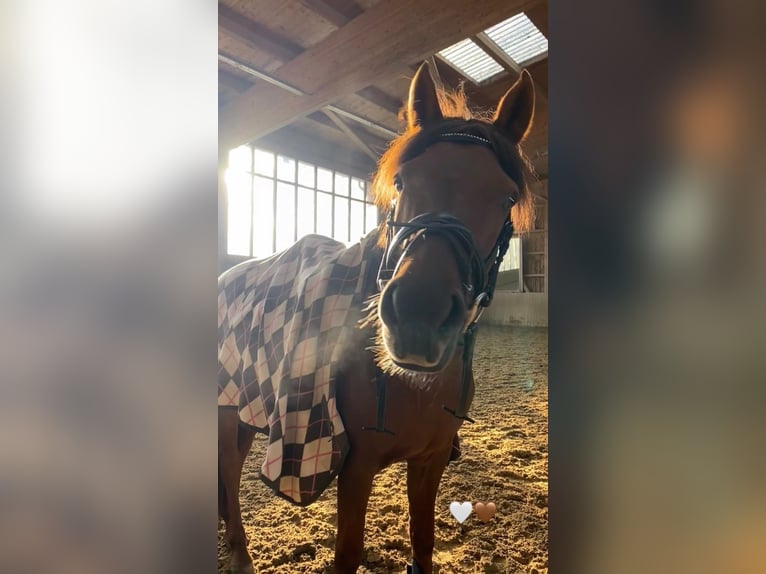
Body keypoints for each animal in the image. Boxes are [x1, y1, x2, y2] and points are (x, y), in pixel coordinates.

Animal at [218, 61, 536, 574]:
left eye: (506, 197)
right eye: (402, 181)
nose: (418, 317)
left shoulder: (429, 461)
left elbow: (423, 541)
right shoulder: (356, 465)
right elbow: (347, 551)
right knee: (228, 471)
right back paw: (240, 551)